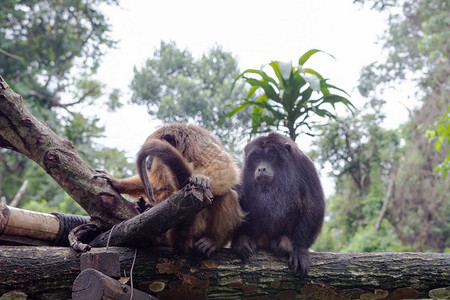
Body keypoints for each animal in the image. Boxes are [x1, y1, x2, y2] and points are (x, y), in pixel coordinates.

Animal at [96, 122, 244, 255]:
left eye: (151, 157)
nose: (148, 163)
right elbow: (159, 185)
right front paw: (117, 183)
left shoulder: (197, 143)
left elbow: (224, 168)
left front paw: (201, 179)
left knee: (227, 194)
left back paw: (214, 241)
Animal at [232, 132, 324, 276]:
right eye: (257, 159)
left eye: (271, 157)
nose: (261, 168)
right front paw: (239, 239)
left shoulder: (305, 165)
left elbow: (314, 204)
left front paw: (299, 250)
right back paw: (242, 239)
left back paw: (284, 242)